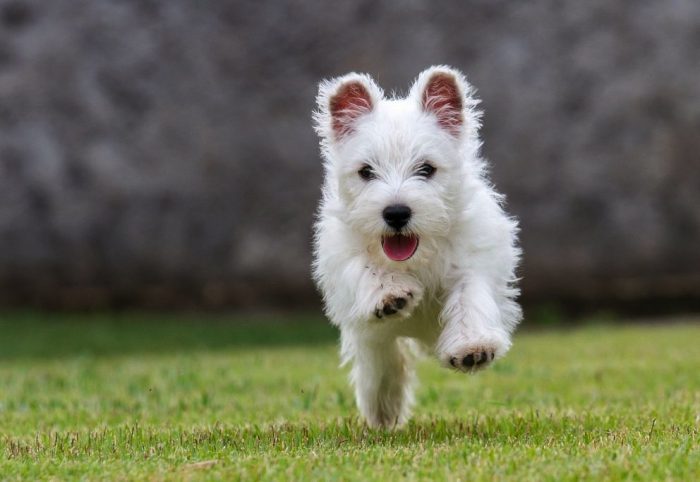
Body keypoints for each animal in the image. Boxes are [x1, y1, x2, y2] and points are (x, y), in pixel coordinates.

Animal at [312, 66, 520, 428]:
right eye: (366, 171)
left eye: (426, 168)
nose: (396, 213)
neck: (419, 254)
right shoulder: (342, 255)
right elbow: (364, 267)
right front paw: (389, 293)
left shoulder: (473, 258)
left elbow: (469, 296)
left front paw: (472, 346)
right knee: (379, 356)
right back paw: (383, 405)